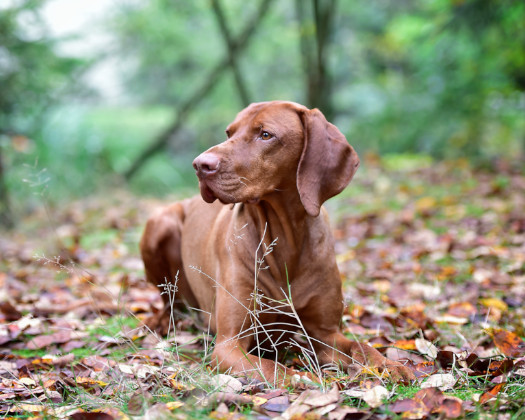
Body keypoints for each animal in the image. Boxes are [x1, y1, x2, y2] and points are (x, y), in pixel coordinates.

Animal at [139, 101, 414, 384]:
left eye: (265, 135)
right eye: (229, 133)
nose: (200, 165)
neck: (285, 240)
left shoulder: (326, 334)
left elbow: (363, 346)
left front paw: (390, 365)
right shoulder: (229, 344)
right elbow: (276, 369)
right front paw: (312, 381)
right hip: (161, 223)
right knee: (169, 300)